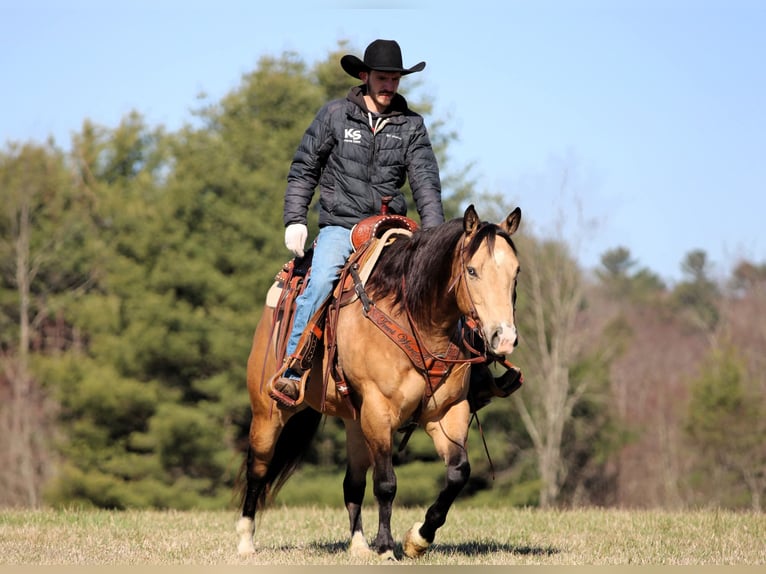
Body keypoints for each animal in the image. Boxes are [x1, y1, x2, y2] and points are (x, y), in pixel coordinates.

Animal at [236, 204, 522, 560]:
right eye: (472, 271)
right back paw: (245, 541)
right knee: (258, 469)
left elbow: (458, 473)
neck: (416, 320)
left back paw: (358, 546)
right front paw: (386, 546)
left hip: (355, 424)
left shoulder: (448, 412)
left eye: (516, 272)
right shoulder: (378, 411)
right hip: (268, 411)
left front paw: (418, 539)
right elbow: (386, 482)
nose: (504, 338)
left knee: (353, 482)